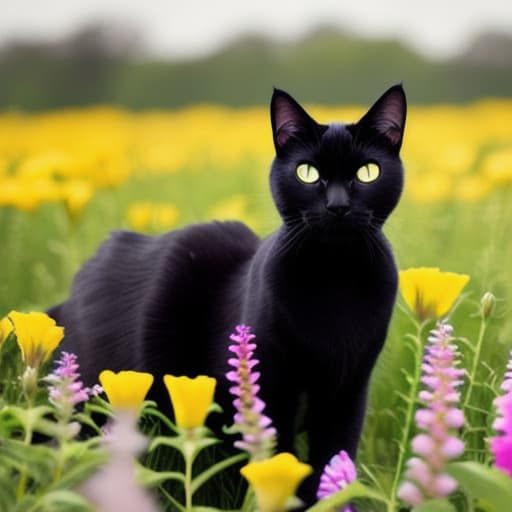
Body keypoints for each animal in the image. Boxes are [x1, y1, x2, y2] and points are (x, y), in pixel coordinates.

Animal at [49, 84, 408, 504]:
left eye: (367, 172)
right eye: (308, 173)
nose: (338, 205)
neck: (334, 280)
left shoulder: (348, 390)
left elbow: (333, 461)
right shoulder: (272, 388)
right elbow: (280, 462)